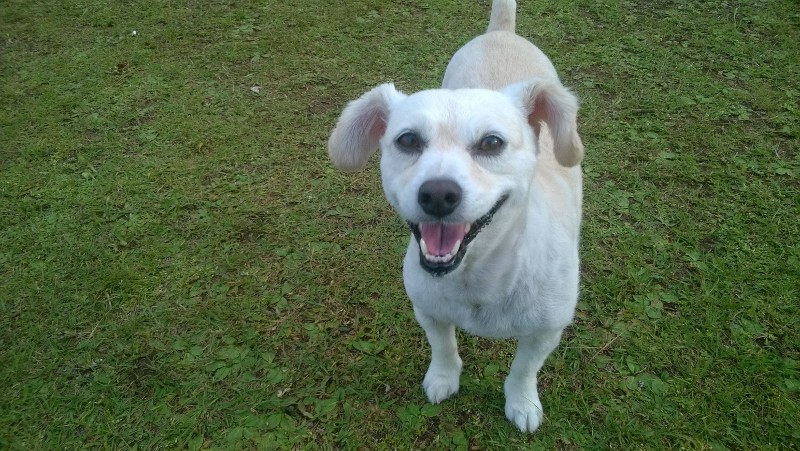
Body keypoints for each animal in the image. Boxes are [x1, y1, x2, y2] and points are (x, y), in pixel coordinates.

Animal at [327, 0, 583, 433]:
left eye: (492, 142)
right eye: (407, 140)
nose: (438, 194)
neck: (477, 278)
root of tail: (502, 31)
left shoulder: (546, 332)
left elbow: (523, 369)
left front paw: (522, 402)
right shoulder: (427, 311)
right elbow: (444, 347)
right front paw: (443, 378)